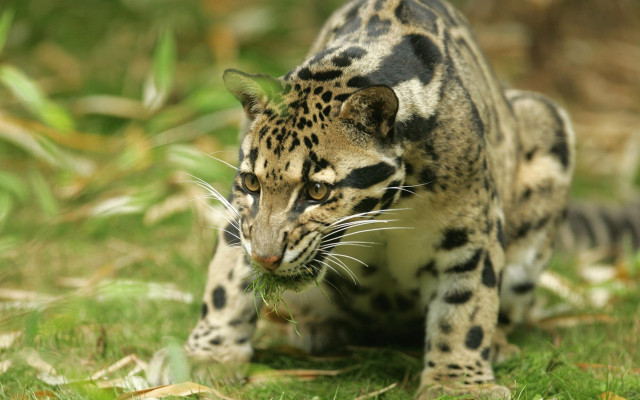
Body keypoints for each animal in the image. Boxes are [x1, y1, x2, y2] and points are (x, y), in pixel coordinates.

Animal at [149, 0, 580, 398]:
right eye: (253, 183)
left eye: (317, 191)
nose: (266, 259)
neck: (392, 206)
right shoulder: (242, 219)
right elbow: (225, 283)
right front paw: (205, 356)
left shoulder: (471, 232)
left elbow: (465, 309)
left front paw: (457, 383)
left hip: (545, 120)